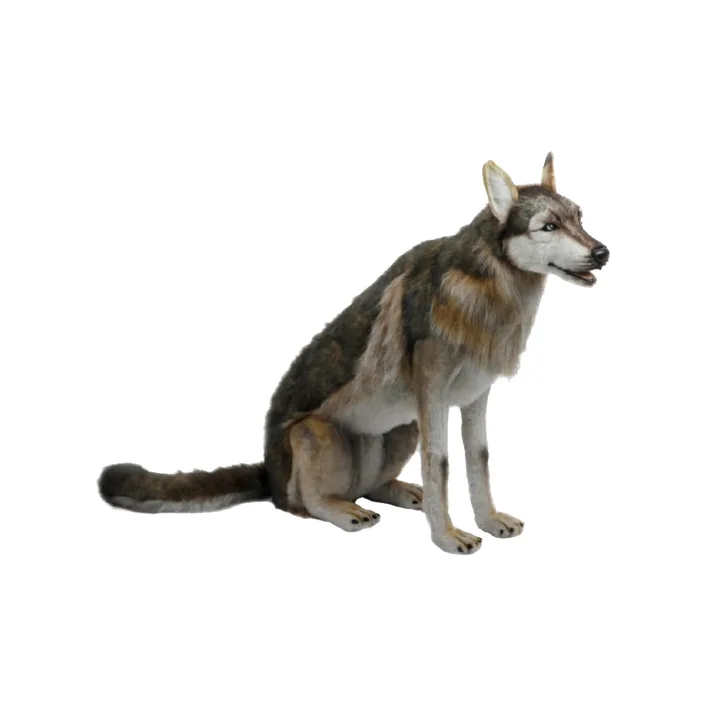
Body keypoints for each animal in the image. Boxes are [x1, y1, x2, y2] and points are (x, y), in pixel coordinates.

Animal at [99, 153, 609, 554]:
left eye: (580, 218)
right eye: (548, 226)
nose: (603, 252)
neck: (486, 292)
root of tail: (267, 473)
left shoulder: (471, 399)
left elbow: (477, 462)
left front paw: (488, 521)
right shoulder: (433, 399)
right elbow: (441, 466)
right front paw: (447, 537)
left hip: (401, 428)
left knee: (374, 487)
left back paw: (401, 493)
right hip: (318, 435)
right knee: (306, 506)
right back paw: (345, 511)